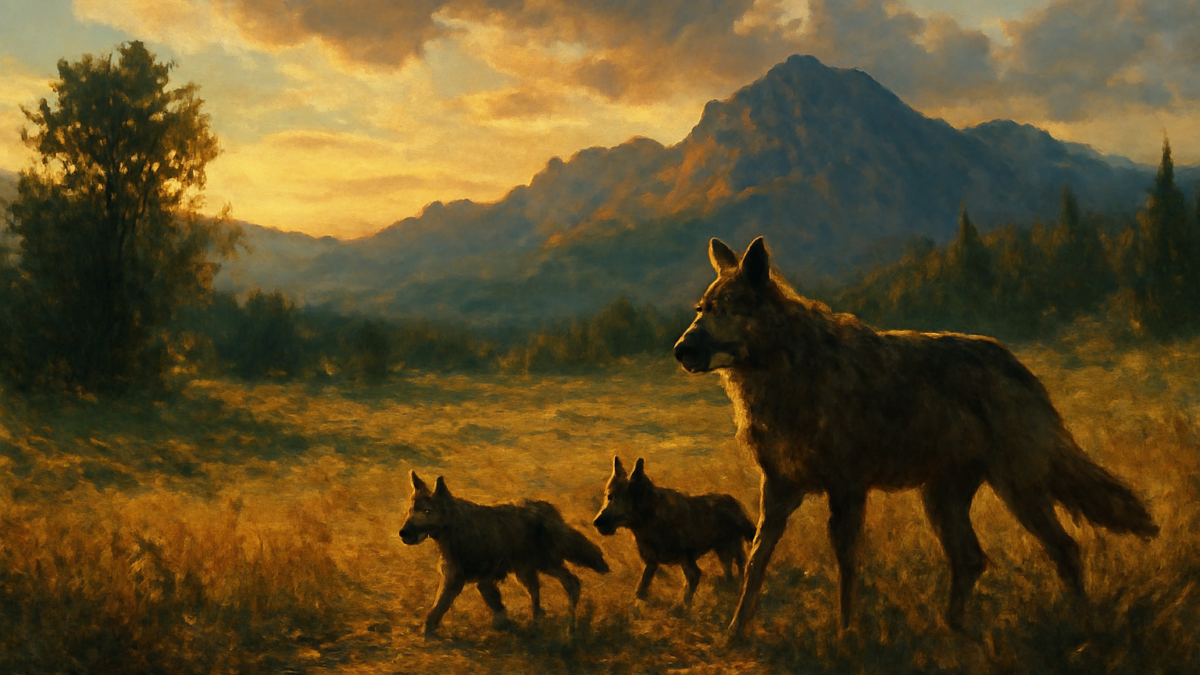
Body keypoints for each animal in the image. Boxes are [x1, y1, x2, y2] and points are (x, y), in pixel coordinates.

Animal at [399, 471, 609, 636]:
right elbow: (443, 608)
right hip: (527, 571)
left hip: (544, 564)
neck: (458, 529)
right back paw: (538, 623)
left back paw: (568, 627)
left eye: (427, 511)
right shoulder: (466, 580)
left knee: (571, 583)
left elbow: (440, 608)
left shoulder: (470, 580)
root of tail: (548, 509)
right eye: (410, 511)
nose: (403, 533)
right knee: (542, 591)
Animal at [592, 456, 756, 607]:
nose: (596, 522)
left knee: (739, 566)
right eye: (609, 497)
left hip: (728, 549)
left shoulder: (688, 564)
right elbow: (642, 586)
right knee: (733, 568)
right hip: (724, 551)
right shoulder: (651, 563)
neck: (652, 519)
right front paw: (637, 602)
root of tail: (734, 503)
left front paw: (682, 610)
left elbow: (687, 592)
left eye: (621, 498)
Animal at [673, 236, 1159, 640]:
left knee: (1065, 548)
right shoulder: (776, 492)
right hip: (941, 499)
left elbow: (846, 567)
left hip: (1019, 491)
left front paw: (846, 636)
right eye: (701, 309)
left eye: (728, 308)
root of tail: (1018, 365)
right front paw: (736, 632)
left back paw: (1083, 627)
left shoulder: (847, 491)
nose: (680, 350)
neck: (785, 372)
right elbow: (756, 565)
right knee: (971, 559)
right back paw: (953, 631)